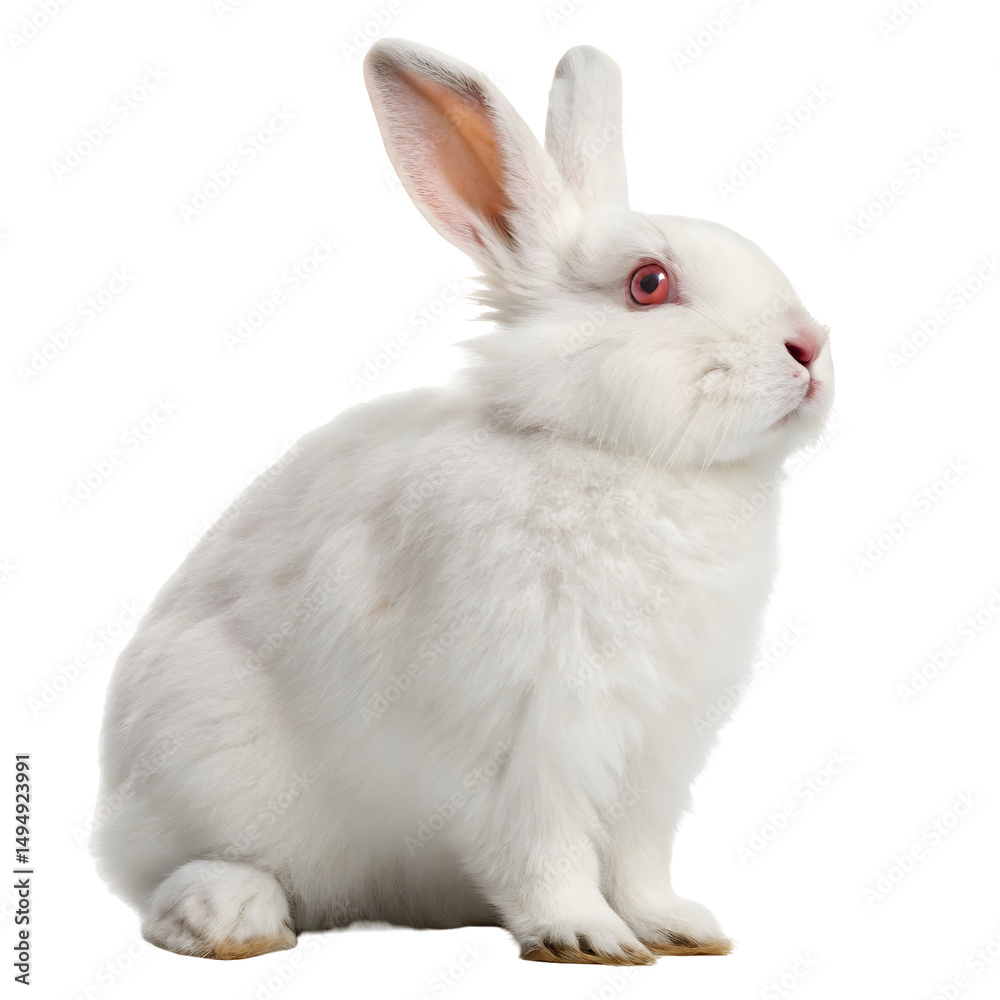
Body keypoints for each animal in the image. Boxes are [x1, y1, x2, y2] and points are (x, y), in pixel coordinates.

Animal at [92, 38, 833, 967]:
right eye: (649, 284)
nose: (811, 346)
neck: (611, 453)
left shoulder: (655, 752)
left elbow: (637, 856)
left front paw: (676, 928)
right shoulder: (527, 736)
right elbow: (544, 849)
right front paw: (587, 936)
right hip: (211, 766)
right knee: (177, 874)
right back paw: (231, 917)